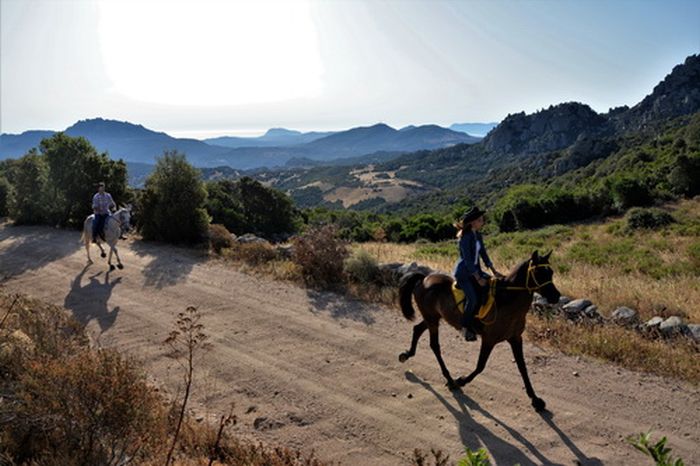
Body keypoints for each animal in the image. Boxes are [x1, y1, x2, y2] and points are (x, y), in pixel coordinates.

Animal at [396, 251, 560, 412]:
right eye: (539, 272)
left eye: (551, 272)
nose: (556, 296)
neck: (507, 301)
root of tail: (424, 279)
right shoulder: (489, 339)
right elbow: (480, 366)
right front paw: (460, 381)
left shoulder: (515, 338)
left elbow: (522, 367)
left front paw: (535, 399)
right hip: (432, 319)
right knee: (434, 345)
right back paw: (450, 379)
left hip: (434, 317)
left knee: (417, 329)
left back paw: (407, 354)